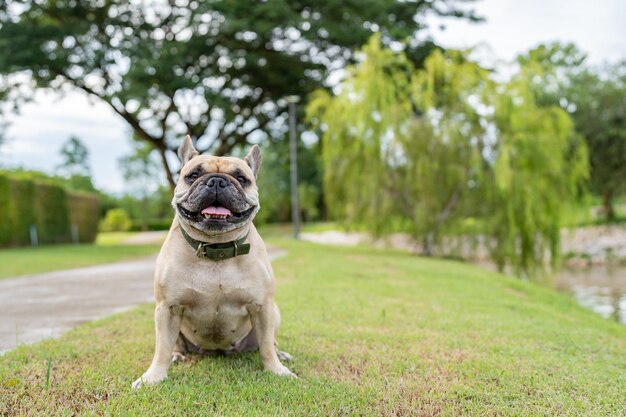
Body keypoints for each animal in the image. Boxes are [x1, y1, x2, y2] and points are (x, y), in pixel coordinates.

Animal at [130, 136, 294, 386]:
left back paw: (281, 354)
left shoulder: (262, 307)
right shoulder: (167, 308)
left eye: (241, 178)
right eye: (193, 175)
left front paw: (276, 370)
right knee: (173, 345)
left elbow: (266, 345)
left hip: (274, 313)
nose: (217, 181)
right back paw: (177, 355)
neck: (216, 248)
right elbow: (162, 348)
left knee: (270, 342)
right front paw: (153, 377)